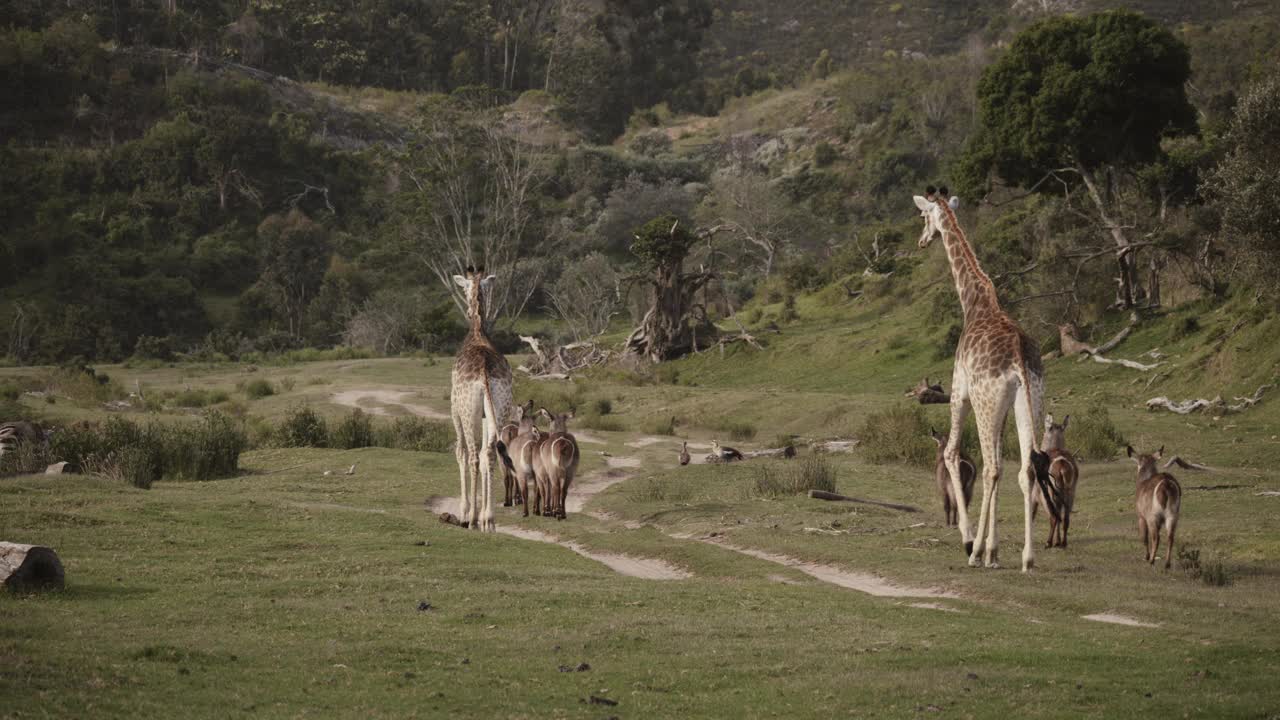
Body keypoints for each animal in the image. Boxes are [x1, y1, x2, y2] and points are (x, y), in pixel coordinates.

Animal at [916, 188, 1064, 568]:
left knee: (991, 468)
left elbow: (951, 452)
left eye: (923, 217)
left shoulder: (959, 391)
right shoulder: (1006, 406)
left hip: (984, 403)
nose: (922, 240)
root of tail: (1018, 356)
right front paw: (994, 551)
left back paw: (974, 552)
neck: (974, 301)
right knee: (1025, 468)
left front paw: (973, 543)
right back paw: (1026, 558)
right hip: (1029, 402)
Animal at [1029, 412, 1080, 545]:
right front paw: (1057, 541)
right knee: (1065, 518)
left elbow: (1031, 515)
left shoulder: (1034, 496)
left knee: (1054, 517)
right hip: (1069, 493)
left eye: (1044, 432)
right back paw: (1063, 543)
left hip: (1049, 495)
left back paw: (1048, 542)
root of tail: (1062, 463)